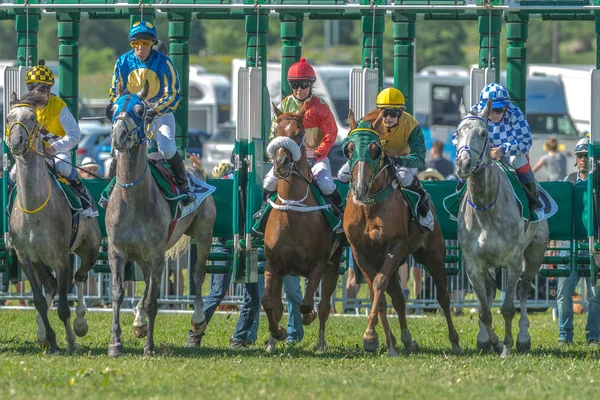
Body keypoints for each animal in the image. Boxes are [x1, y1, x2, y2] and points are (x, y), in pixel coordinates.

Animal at [6, 91, 102, 354]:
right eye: (8, 118)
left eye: (32, 119)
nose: (16, 141)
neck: (34, 209)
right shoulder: (25, 257)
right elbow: (39, 301)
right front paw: (51, 339)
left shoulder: (60, 257)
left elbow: (64, 306)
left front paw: (69, 340)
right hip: (41, 260)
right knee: (49, 286)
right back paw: (42, 333)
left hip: (89, 248)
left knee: (80, 277)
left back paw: (80, 324)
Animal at [105, 82, 216, 356]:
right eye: (112, 108)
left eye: (140, 110)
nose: (118, 136)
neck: (132, 198)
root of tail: (196, 169)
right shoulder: (117, 251)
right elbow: (118, 293)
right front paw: (115, 343)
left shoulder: (156, 252)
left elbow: (154, 300)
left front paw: (149, 346)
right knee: (147, 283)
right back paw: (138, 321)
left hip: (203, 235)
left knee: (198, 275)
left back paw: (197, 319)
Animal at [262, 104, 342, 354]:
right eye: (276, 132)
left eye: (298, 134)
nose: (280, 164)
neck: (293, 211)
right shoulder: (273, 263)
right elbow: (269, 303)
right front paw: (277, 334)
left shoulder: (318, 263)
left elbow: (308, 305)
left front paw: (308, 317)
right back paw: (272, 342)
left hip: (333, 265)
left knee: (324, 306)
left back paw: (320, 343)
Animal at [340, 110, 462, 356]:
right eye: (348, 148)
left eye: (376, 150)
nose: (360, 188)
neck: (369, 206)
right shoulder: (360, 253)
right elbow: (378, 292)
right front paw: (380, 340)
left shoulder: (395, 247)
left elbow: (379, 284)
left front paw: (370, 335)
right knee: (397, 297)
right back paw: (403, 340)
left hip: (432, 254)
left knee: (443, 296)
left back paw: (454, 341)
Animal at [454, 99, 548, 356]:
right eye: (457, 133)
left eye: (483, 133)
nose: (463, 164)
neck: (485, 210)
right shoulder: (473, 265)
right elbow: (484, 310)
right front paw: (493, 341)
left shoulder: (513, 260)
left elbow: (507, 308)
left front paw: (506, 346)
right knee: (489, 290)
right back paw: (484, 339)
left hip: (535, 253)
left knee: (523, 290)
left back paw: (523, 338)